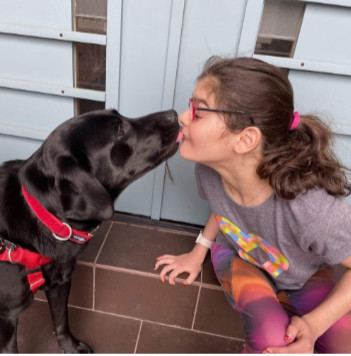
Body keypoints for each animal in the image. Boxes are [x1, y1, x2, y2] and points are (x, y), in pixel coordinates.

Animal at [0, 109, 180, 354]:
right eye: (119, 130)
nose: (174, 114)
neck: (45, 217)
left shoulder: (61, 282)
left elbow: (61, 321)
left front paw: (70, 348)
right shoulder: (6, 319)